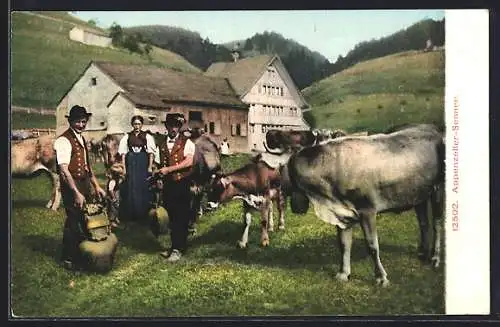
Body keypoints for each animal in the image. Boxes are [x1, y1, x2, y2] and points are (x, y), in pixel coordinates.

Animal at [266, 125, 446, 288]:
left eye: (280, 168)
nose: (276, 185)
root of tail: (433, 129)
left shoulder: (367, 210)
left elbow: (372, 246)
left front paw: (381, 277)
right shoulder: (342, 214)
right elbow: (344, 245)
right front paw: (343, 273)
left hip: (437, 188)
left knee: (437, 224)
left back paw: (435, 258)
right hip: (418, 195)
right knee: (424, 223)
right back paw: (423, 253)